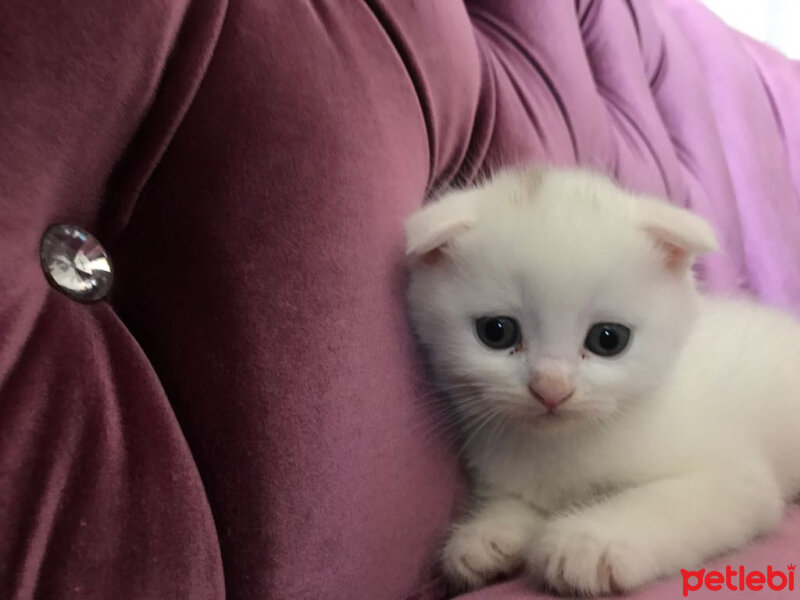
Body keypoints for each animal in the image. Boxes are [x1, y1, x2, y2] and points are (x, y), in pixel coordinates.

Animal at [406, 168, 800, 596]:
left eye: (608, 339)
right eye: (497, 332)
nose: (551, 388)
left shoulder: (735, 477)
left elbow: (662, 502)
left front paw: (588, 542)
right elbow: (520, 502)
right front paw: (487, 536)